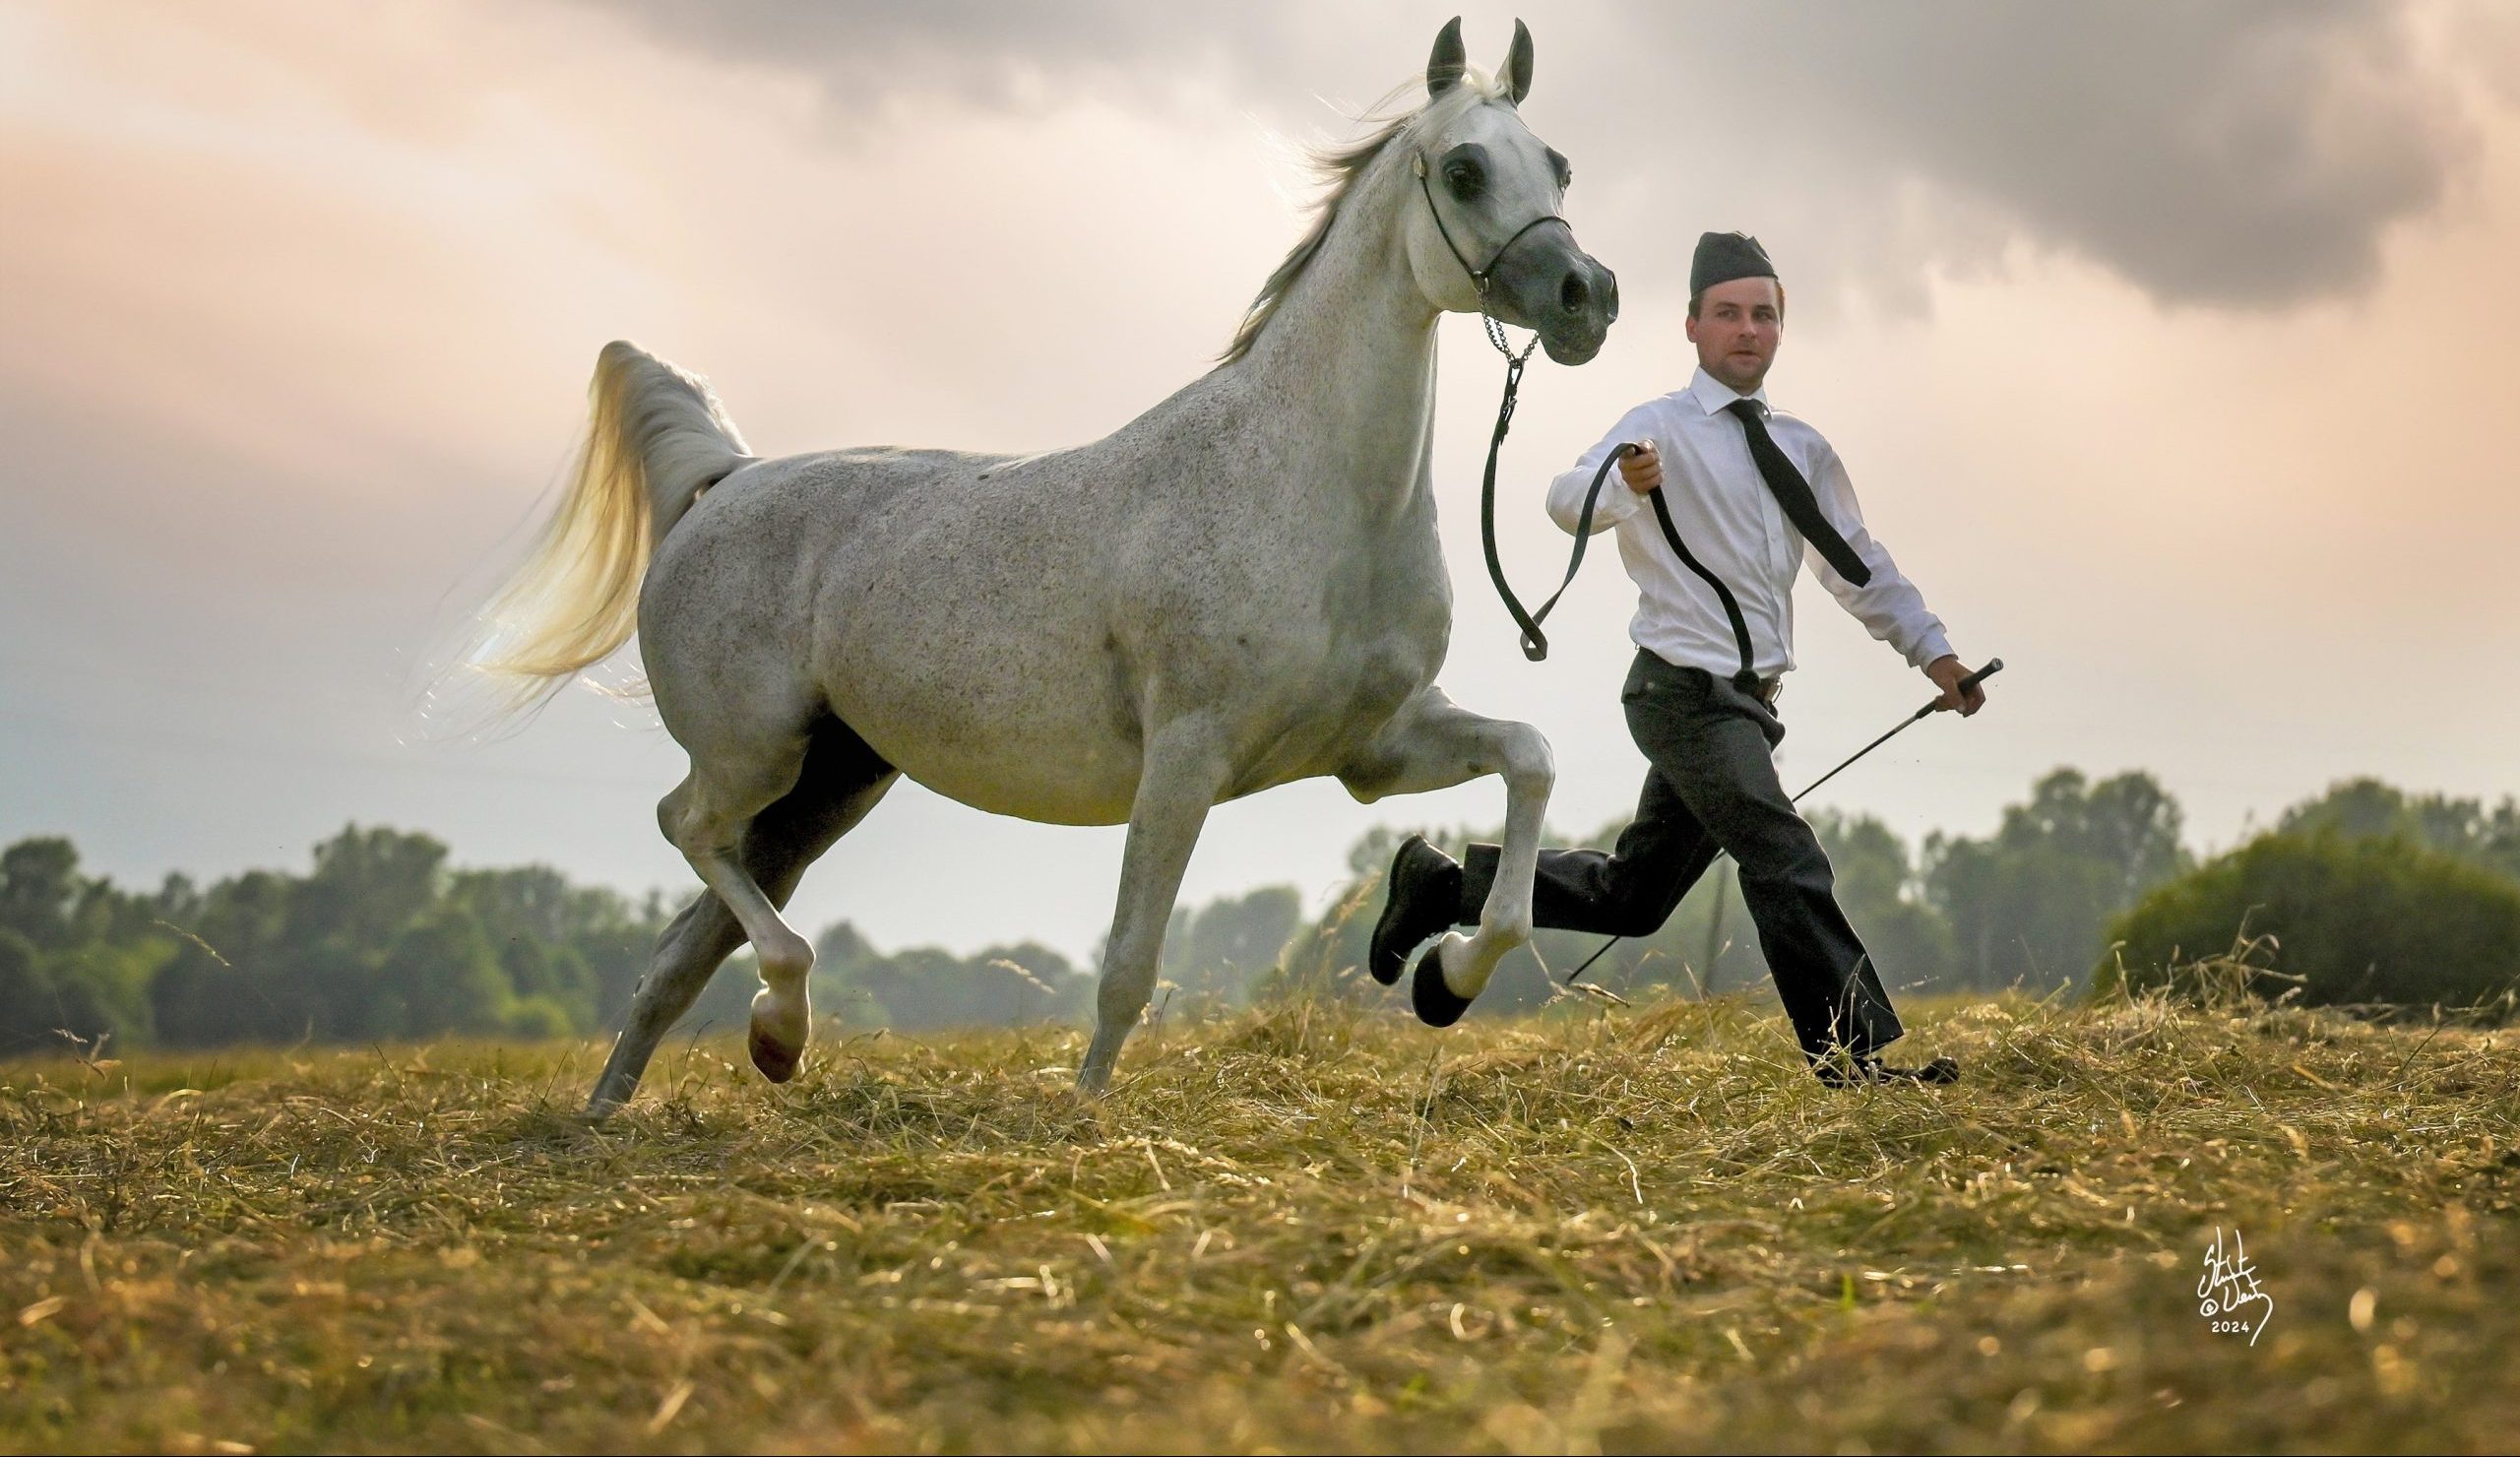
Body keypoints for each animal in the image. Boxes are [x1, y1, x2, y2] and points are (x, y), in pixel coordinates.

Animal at [468, 17, 1618, 1115]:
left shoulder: (1373, 747)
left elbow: (1529, 767)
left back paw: (657, 1092)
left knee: (679, 952)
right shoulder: (1186, 759)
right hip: (757, 758)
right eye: (1464, 169)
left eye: (1558, 165)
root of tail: (732, 478)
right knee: (688, 832)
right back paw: (777, 1029)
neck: (1314, 493)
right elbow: (1128, 966)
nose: (1586, 298)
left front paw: (1449, 976)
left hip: (829, 784)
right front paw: (1086, 1113)